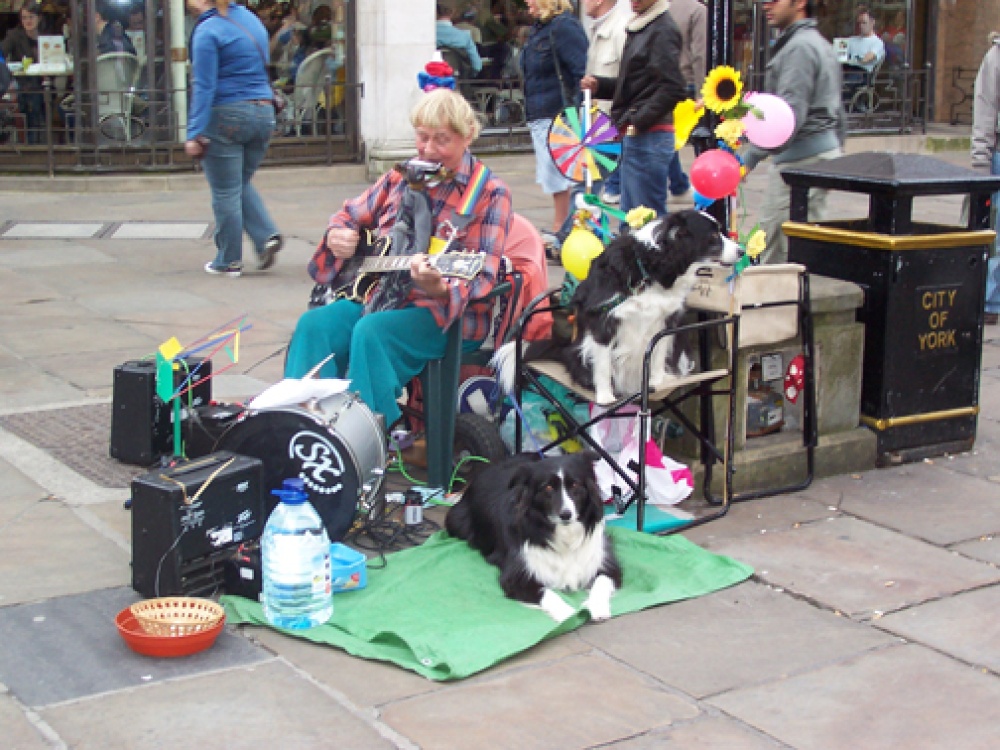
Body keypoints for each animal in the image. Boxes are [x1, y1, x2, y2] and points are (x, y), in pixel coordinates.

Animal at [444, 452, 616, 624]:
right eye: (548, 487)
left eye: (575, 485)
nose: (566, 515)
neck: (563, 533)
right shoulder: (516, 578)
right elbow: (547, 593)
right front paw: (568, 614)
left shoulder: (605, 563)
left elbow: (602, 582)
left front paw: (598, 607)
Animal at [492, 209, 744, 406]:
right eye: (713, 236)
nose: (742, 251)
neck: (648, 269)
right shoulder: (602, 320)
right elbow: (603, 366)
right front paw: (605, 397)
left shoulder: (665, 321)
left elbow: (657, 356)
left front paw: (658, 383)